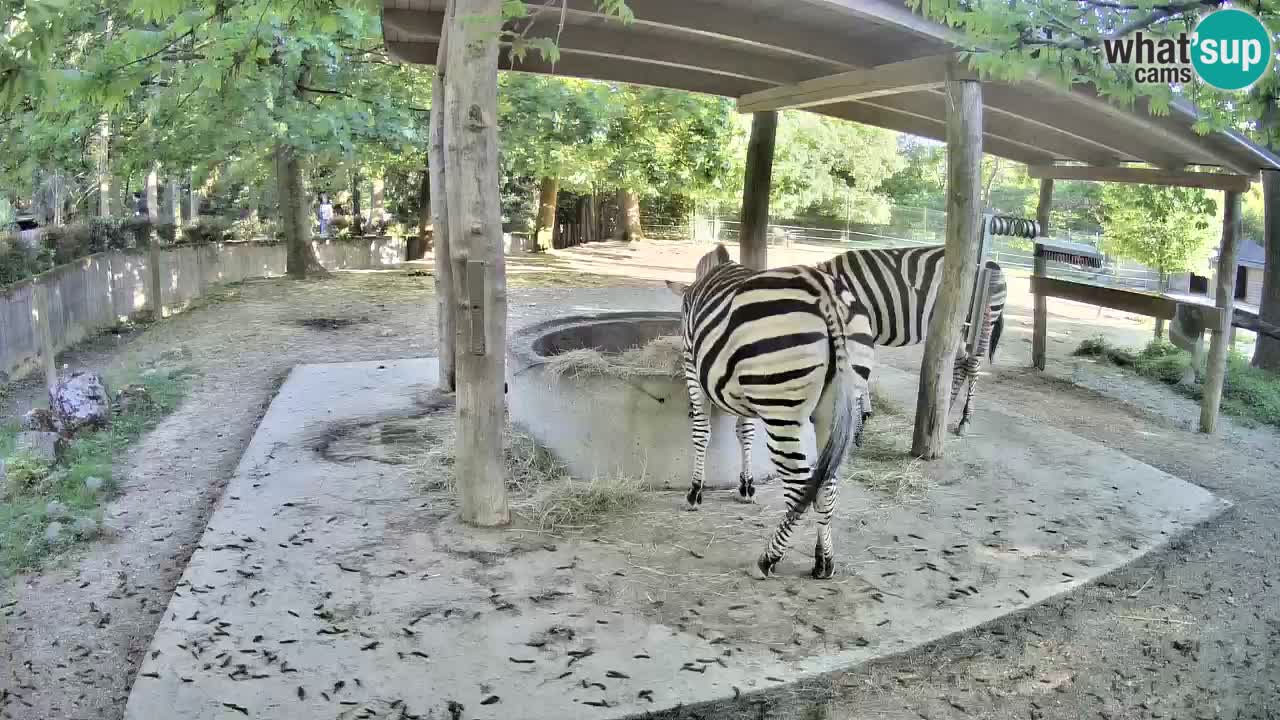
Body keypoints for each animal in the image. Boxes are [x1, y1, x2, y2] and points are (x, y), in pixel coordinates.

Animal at [665, 244, 875, 579]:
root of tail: (825, 293)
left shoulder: (691, 370)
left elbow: (701, 433)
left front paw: (695, 492)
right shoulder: (743, 389)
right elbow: (745, 433)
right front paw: (746, 485)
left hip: (782, 411)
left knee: (800, 486)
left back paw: (769, 558)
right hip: (833, 406)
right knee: (826, 483)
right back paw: (824, 561)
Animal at [815, 246, 1006, 436]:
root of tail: (993, 263)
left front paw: (859, 417)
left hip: (981, 325)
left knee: (972, 366)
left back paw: (964, 420)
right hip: (957, 329)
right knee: (961, 365)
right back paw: (945, 413)